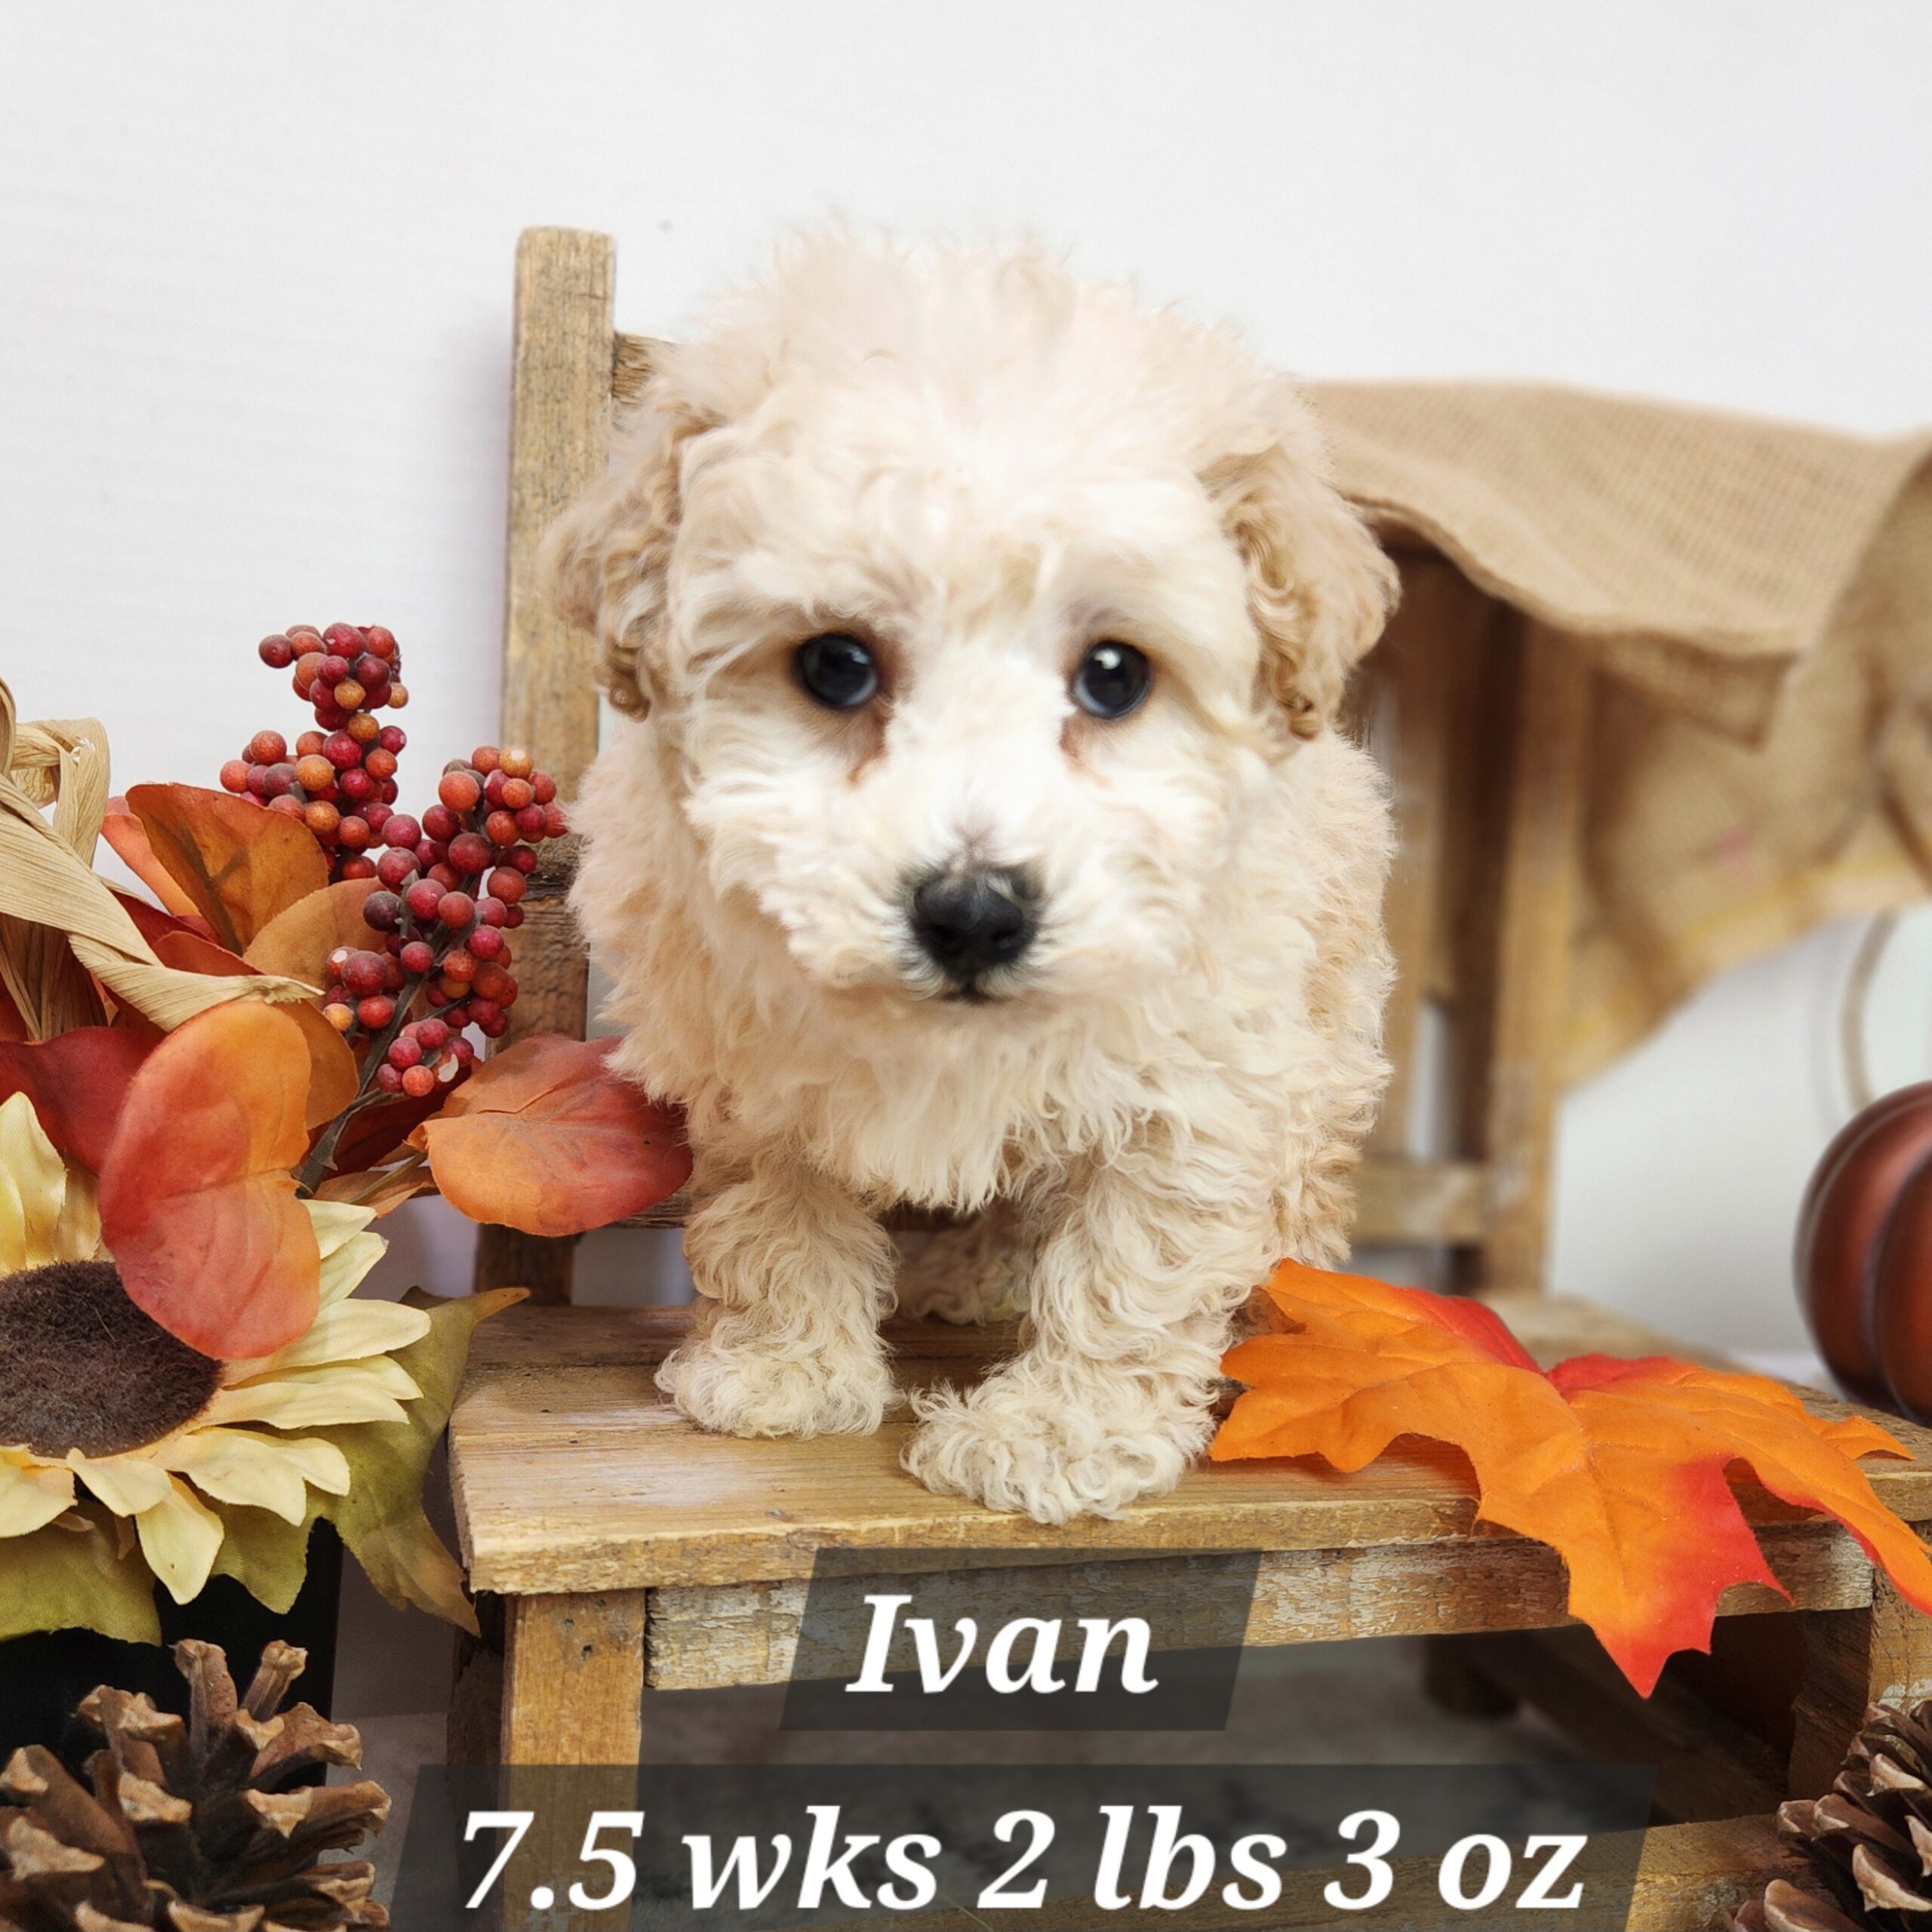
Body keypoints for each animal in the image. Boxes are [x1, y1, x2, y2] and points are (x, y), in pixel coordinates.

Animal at [552, 233, 1398, 1522]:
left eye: (1114, 675)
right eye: (836, 666)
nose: (973, 914)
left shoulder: (1204, 1079)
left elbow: (1136, 1259)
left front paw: (1061, 1431)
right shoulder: (751, 1058)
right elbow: (772, 1203)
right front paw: (783, 1368)